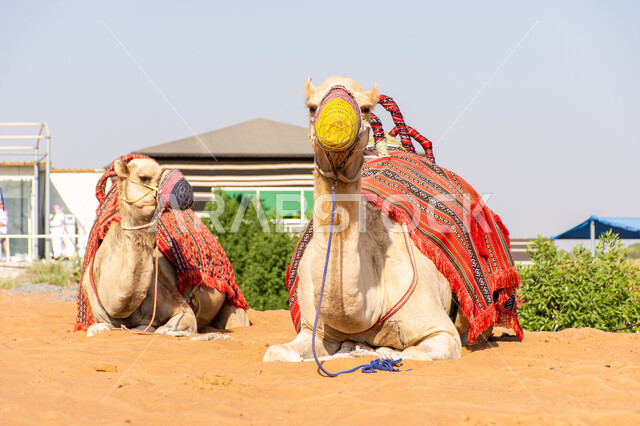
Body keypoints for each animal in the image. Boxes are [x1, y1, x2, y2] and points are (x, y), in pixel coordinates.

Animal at [82, 157, 249, 337]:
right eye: (144, 177)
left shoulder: (182, 308)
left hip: (232, 301)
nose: (184, 189)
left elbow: (160, 329)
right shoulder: (100, 315)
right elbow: (95, 329)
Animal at [264, 76, 479, 362]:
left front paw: (374, 349)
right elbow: (276, 353)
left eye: (366, 108)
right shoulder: (313, 330)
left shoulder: (442, 333)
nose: (336, 123)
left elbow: (405, 353)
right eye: (311, 106)